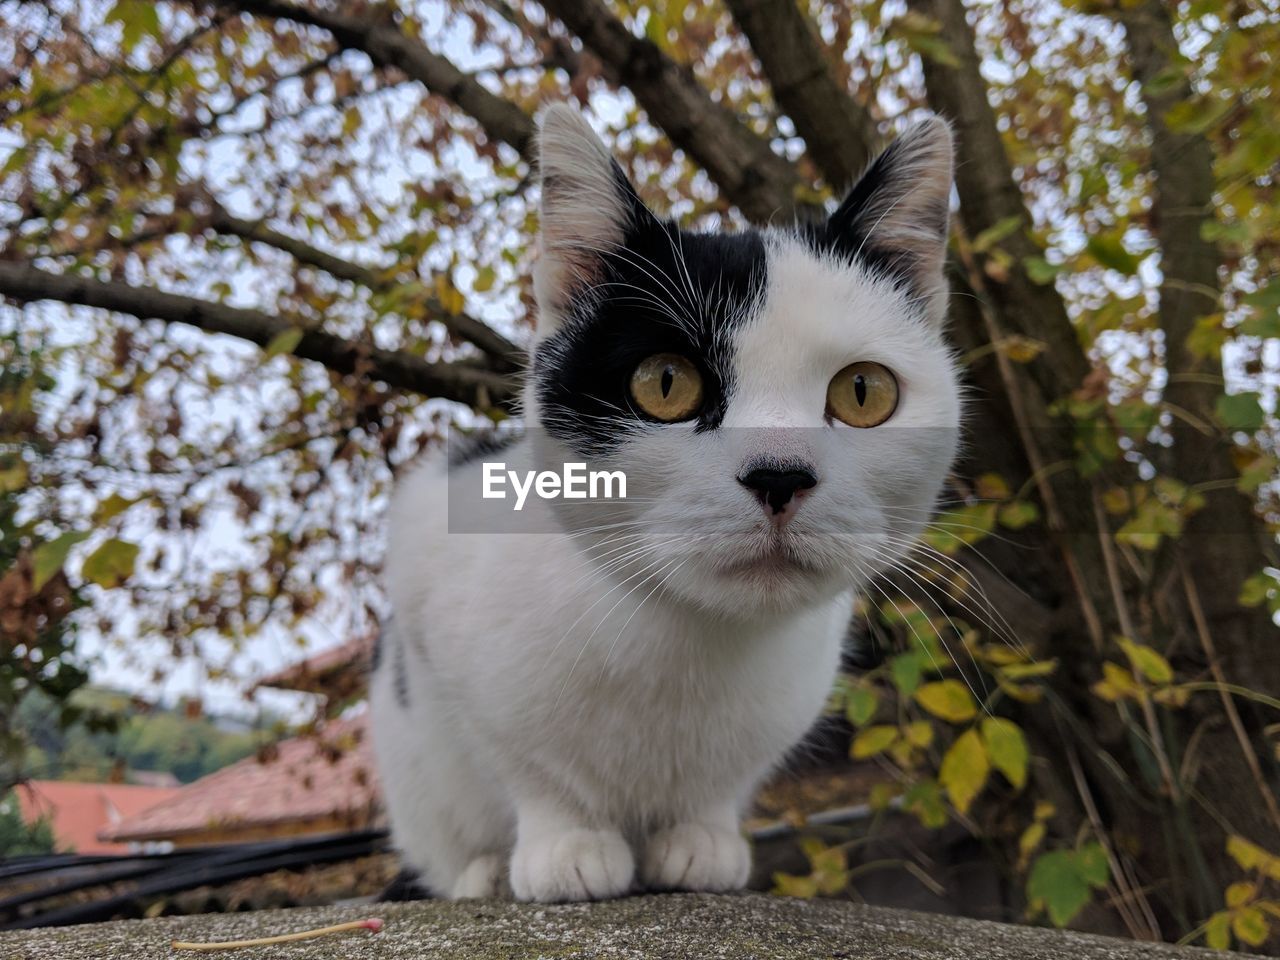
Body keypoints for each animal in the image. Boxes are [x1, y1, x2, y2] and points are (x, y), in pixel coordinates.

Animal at [371, 104, 962, 901]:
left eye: (863, 392)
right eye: (665, 384)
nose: (779, 475)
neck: (691, 640)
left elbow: (719, 786)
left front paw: (699, 838)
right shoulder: (429, 555)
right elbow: (520, 761)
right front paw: (567, 846)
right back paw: (481, 873)